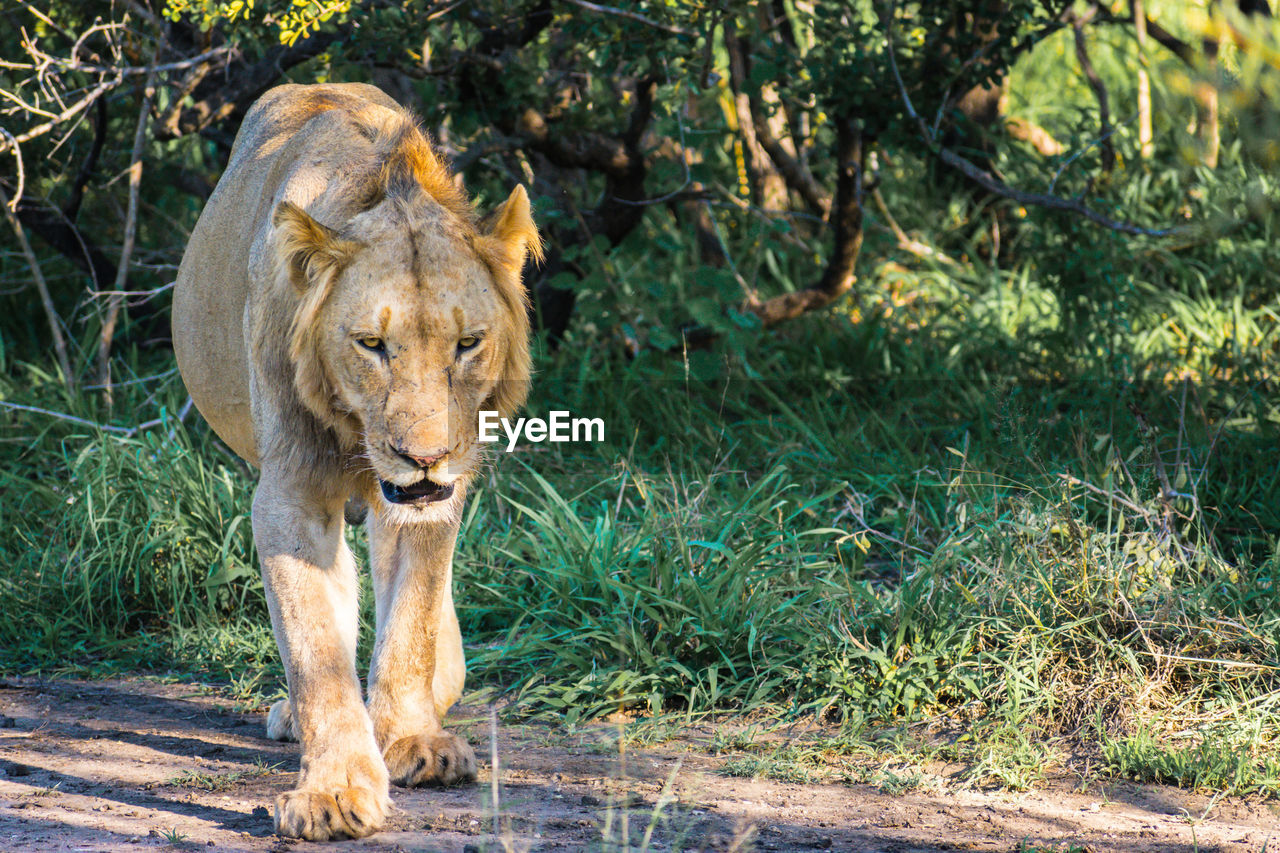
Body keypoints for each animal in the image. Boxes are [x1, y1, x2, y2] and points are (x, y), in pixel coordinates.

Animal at [171, 83, 540, 840]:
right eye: (371, 343)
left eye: (468, 343)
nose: (425, 456)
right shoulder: (289, 495)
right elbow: (315, 643)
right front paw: (335, 791)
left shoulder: (428, 506)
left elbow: (412, 621)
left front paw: (413, 738)